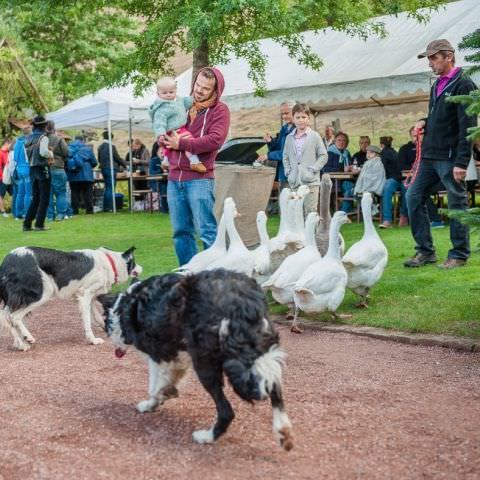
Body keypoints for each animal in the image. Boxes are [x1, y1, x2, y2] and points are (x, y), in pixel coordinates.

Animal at [0, 246, 142, 350]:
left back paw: (20, 344)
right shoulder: (84, 295)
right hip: (44, 292)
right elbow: (87, 321)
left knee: (6, 316)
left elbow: (96, 315)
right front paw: (93, 340)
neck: (110, 262)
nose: (142, 268)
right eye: (134, 263)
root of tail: (8, 261)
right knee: (14, 317)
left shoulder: (86, 295)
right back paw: (27, 337)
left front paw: (106, 327)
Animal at [98, 270, 292, 450]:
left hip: (205, 364)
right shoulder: (177, 357)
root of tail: (239, 301)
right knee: (273, 386)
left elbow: (154, 387)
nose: (115, 348)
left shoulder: (159, 354)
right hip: (260, 351)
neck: (125, 306)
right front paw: (165, 395)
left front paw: (152, 402)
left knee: (226, 410)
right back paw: (283, 432)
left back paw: (207, 437)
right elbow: (168, 381)